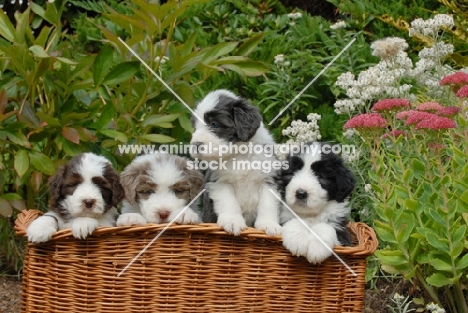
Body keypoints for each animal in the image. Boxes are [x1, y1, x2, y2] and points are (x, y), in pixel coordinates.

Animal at [190, 89, 282, 235]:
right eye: (195, 128)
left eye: (214, 124)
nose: (196, 144)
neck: (238, 155)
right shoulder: (221, 182)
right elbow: (229, 203)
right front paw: (232, 222)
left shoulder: (268, 180)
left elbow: (268, 204)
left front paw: (269, 225)